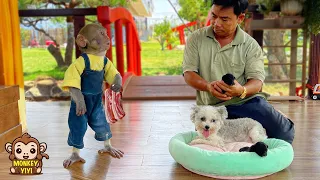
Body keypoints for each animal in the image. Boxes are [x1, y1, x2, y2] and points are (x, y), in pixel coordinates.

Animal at [61, 22, 124, 169]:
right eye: (101, 33)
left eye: (105, 32)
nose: (108, 37)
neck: (95, 56)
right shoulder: (78, 63)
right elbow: (74, 87)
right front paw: (81, 103)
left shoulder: (106, 61)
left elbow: (115, 74)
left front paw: (117, 85)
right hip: (76, 115)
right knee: (77, 131)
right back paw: (75, 155)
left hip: (97, 113)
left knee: (102, 127)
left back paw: (108, 148)